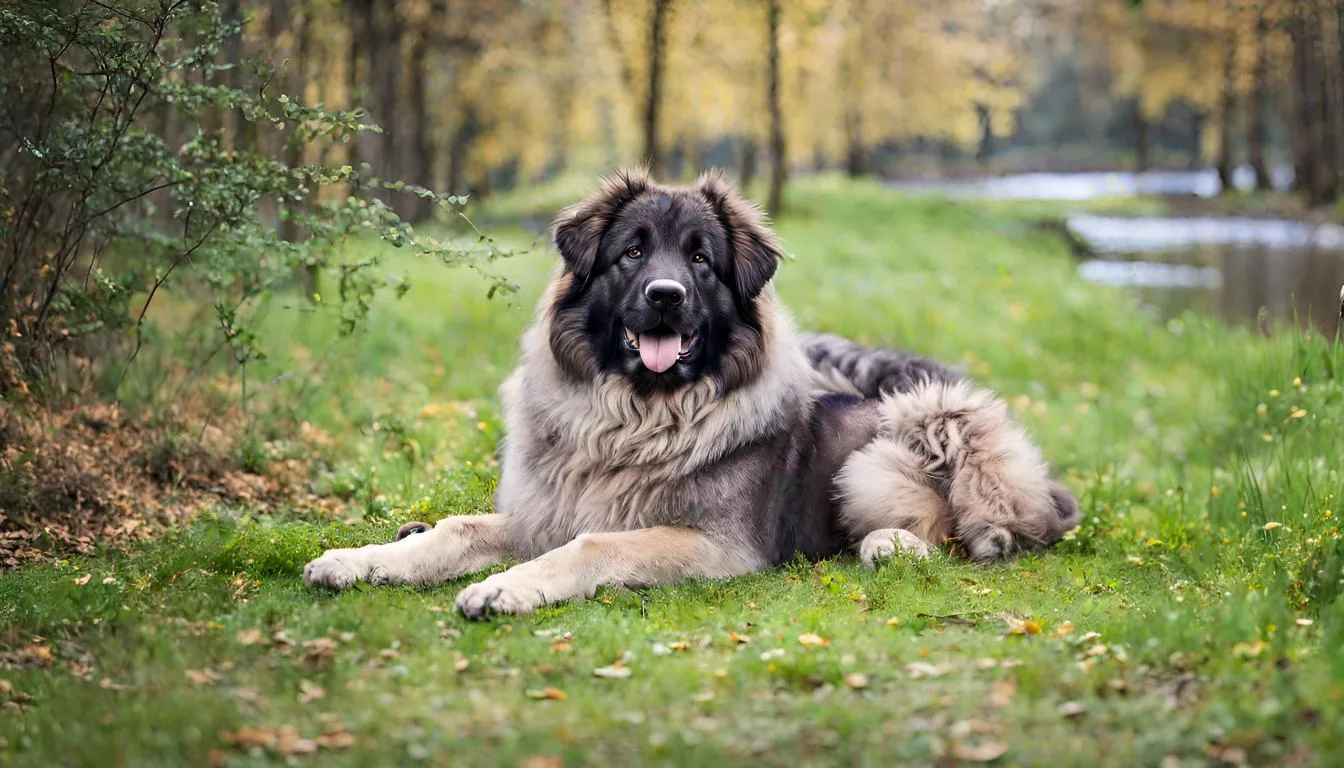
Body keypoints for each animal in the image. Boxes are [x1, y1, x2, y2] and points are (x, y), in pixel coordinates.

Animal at [305, 169, 1080, 618]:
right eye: (632, 252)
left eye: (701, 260)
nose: (666, 295)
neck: (636, 416)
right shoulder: (544, 510)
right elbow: (458, 530)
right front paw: (360, 560)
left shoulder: (710, 544)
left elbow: (591, 545)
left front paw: (505, 587)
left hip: (911, 430)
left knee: (953, 526)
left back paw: (894, 545)